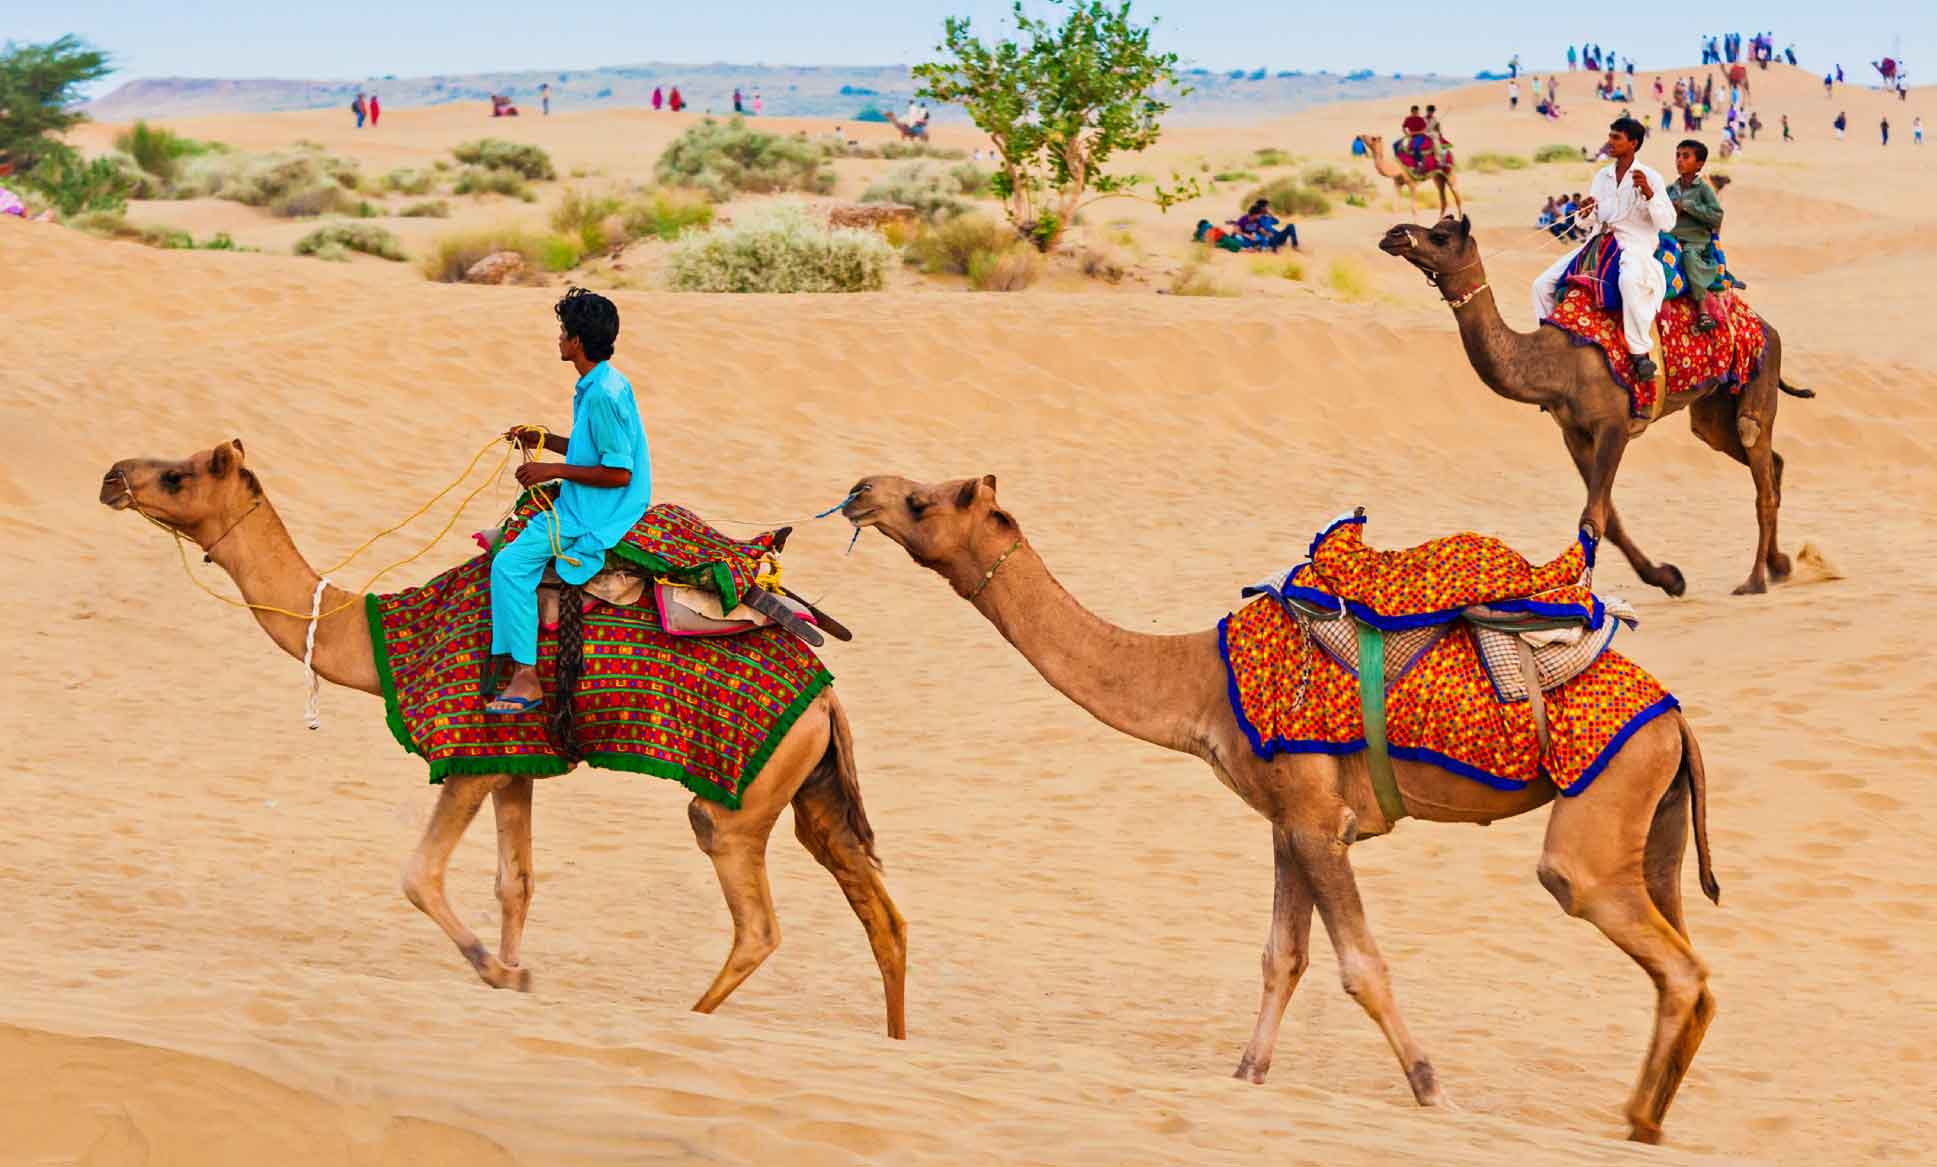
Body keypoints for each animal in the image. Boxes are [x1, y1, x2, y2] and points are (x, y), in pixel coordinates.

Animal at [104, 438, 914, 1039]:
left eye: (177, 473)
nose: (113, 475)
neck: (380, 637)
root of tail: (826, 696)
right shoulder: (515, 761)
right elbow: (514, 883)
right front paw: (516, 974)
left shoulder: (468, 755)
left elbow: (419, 875)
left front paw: (495, 969)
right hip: (811, 785)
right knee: (881, 913)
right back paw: (894, 1042)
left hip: (738, 796)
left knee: (756, 922)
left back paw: (690, 1015)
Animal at [848, 467, 1727, 1139]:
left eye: (921, 501)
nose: (860, 491)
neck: (1202, 684)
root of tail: (1676, 717)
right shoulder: (1287, 821)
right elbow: (1281, 957)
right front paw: (1245, 1076)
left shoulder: (1314, 821)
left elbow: (1360, 967)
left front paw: (1435, 1093)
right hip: (1656, 826)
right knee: (1687, 965)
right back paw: (1646, 1123)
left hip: (1598, 813)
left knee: (1658, 949)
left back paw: (1633, 1119)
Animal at [1379, 218, 1813, 597]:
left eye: (1439, 236)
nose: (1393, 233)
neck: (1556, 362)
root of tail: (1765, 326)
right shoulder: (1574, 432)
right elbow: (1609, 517)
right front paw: (1669, 578)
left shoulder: (1613, 425)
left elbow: (1593, 518)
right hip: (1712, 406)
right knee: (1767, 461)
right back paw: (1779, 565)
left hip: (1758, 375)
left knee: (1758, 464)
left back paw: (1754, 581)